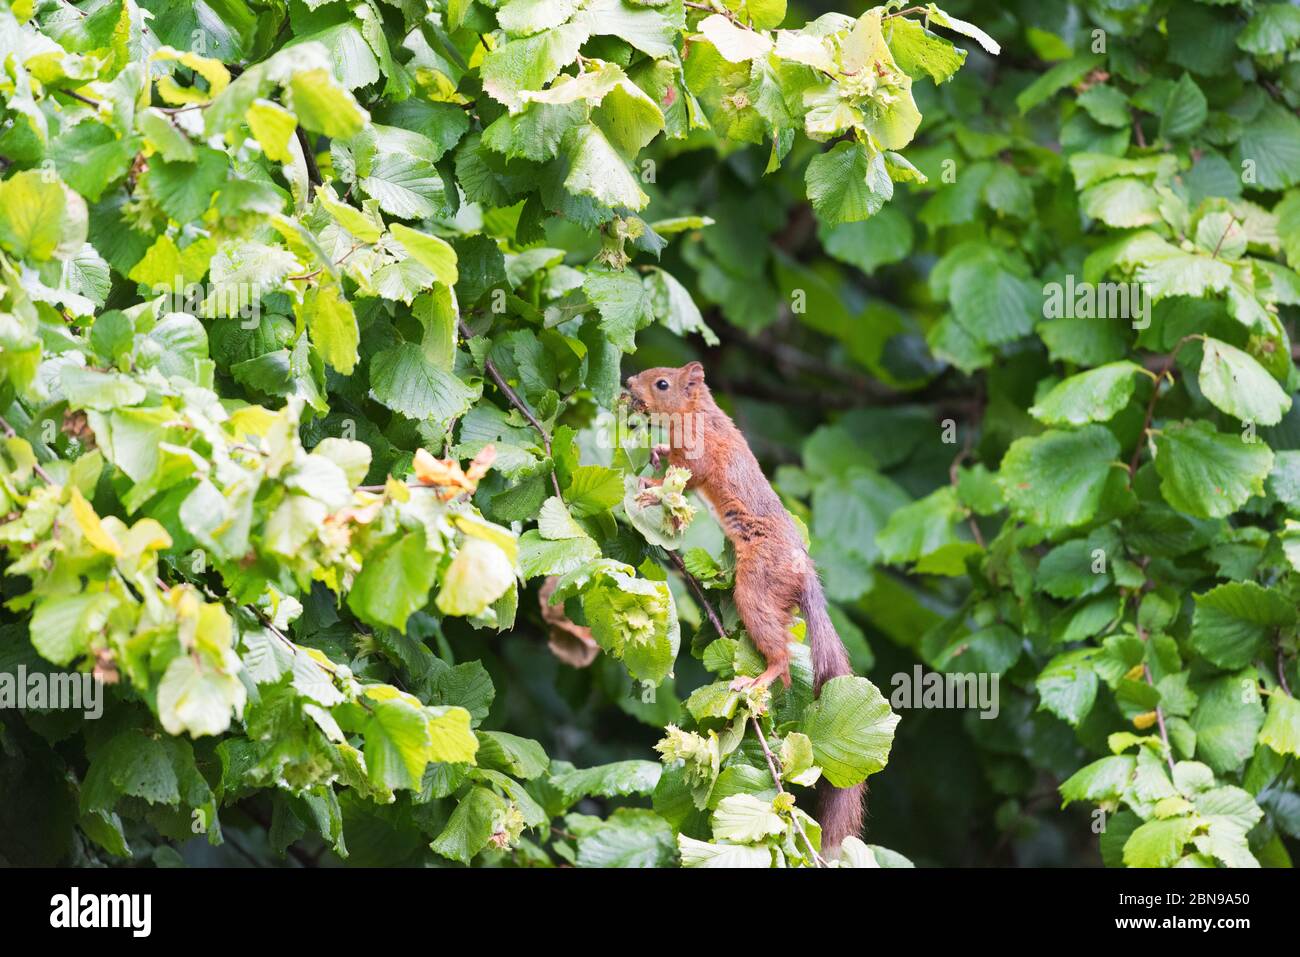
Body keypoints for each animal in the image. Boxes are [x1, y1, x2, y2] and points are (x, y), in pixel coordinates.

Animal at [624, 361, 863, 852]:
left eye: (662, 383)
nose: (628, 385)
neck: (697, 415)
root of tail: (802, 570)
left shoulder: (701, 459)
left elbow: (684, 476)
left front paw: (650, 487)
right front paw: (654, 453)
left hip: (756, 591)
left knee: (783, 662)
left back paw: (756, 680)